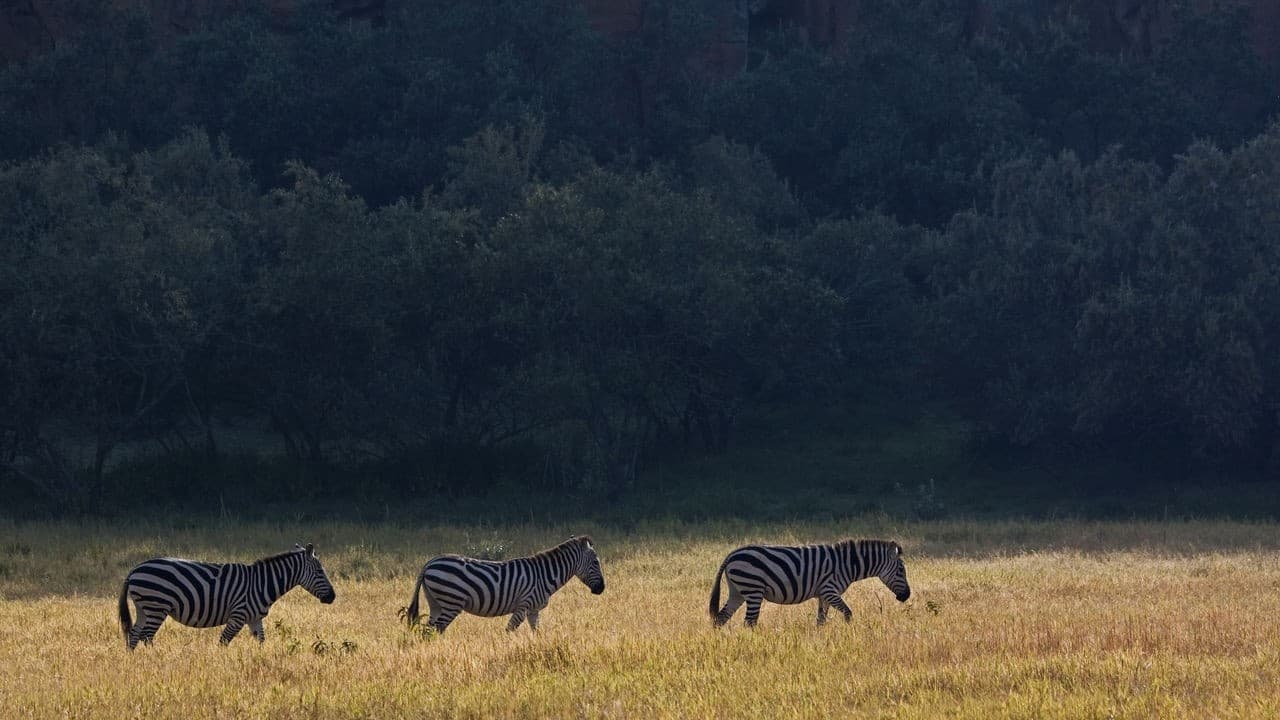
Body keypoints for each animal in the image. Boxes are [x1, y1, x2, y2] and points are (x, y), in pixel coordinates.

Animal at [117, 543, 336, 649]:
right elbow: (223, 642)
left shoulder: (254, 618)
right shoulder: (238, 615)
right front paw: (220, 665)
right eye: (320, 572)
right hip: (157, 606)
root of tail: (135, 569)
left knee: (134, 635)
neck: (263, 583)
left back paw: (135, 663)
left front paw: (262, 661)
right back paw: (155, 659)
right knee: (146, 637)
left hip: (144, 608)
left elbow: (261, 642)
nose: (332, 597)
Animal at [404, 535, 605, 634]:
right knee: (434, 631)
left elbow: (538, 633)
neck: (544, 575)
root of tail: (430, 563)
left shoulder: (534, 610)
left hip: (436, 603)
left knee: (428, 631)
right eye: (596, 562)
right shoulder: (524, 606)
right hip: (451, 601)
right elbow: (509, 631)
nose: (601, 589)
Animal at [709, 539, 910, 628]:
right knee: (749, 622)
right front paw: (848, 632)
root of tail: (732, 554)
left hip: (737, 591)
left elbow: (821, 620)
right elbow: (848, 613)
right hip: (753, 589)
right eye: (901, 570)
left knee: (721, 618)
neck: (848, 563)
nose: (906, 596)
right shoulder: (830, 590)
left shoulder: (823, 595)